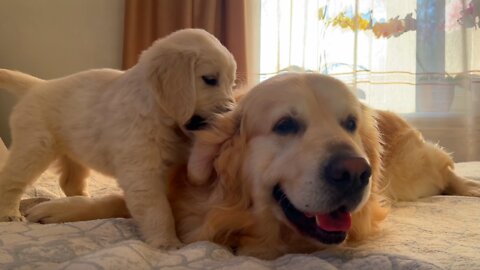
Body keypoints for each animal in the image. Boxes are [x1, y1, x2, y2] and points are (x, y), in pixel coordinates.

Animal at [0, 28, 236, 249]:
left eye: (231, 84)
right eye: (210, 80)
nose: (230, 113)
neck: (156, 108)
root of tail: (38, 85)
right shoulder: (142, 173)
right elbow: (158, 210)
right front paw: (167, 242)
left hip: (73, 150)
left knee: (69, 180)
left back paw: (81, 199)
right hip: (35, 146)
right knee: (12, 179)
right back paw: (9, 212)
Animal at [23, 73, 480, 258]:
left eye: (350, 123)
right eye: (285, 125)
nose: (356, 171)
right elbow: (123, 200)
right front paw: (54, 206)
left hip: (421, 169)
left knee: (448, 171)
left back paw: (469, 187)